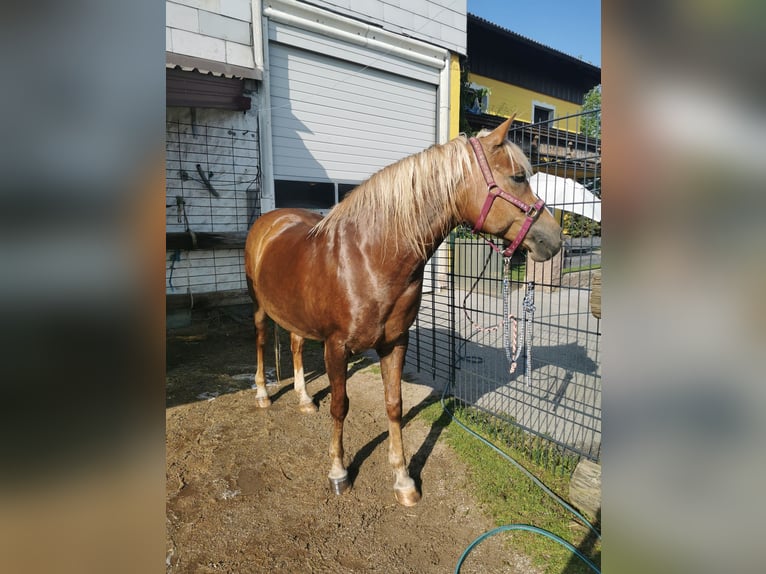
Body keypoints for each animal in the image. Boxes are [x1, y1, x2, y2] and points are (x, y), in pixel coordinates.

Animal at [246, 119, 564, 506]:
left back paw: (305, 399)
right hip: (260, 308)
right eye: (518, 177)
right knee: (262, 340)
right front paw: (338, 472)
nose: (555, 238)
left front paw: (403, 479)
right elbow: (340, 405)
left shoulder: (395, 343)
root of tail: (270, 220)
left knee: (294, 343)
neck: (370, 258)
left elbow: (394, 405)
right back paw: (263, 394)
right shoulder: (336, 347)